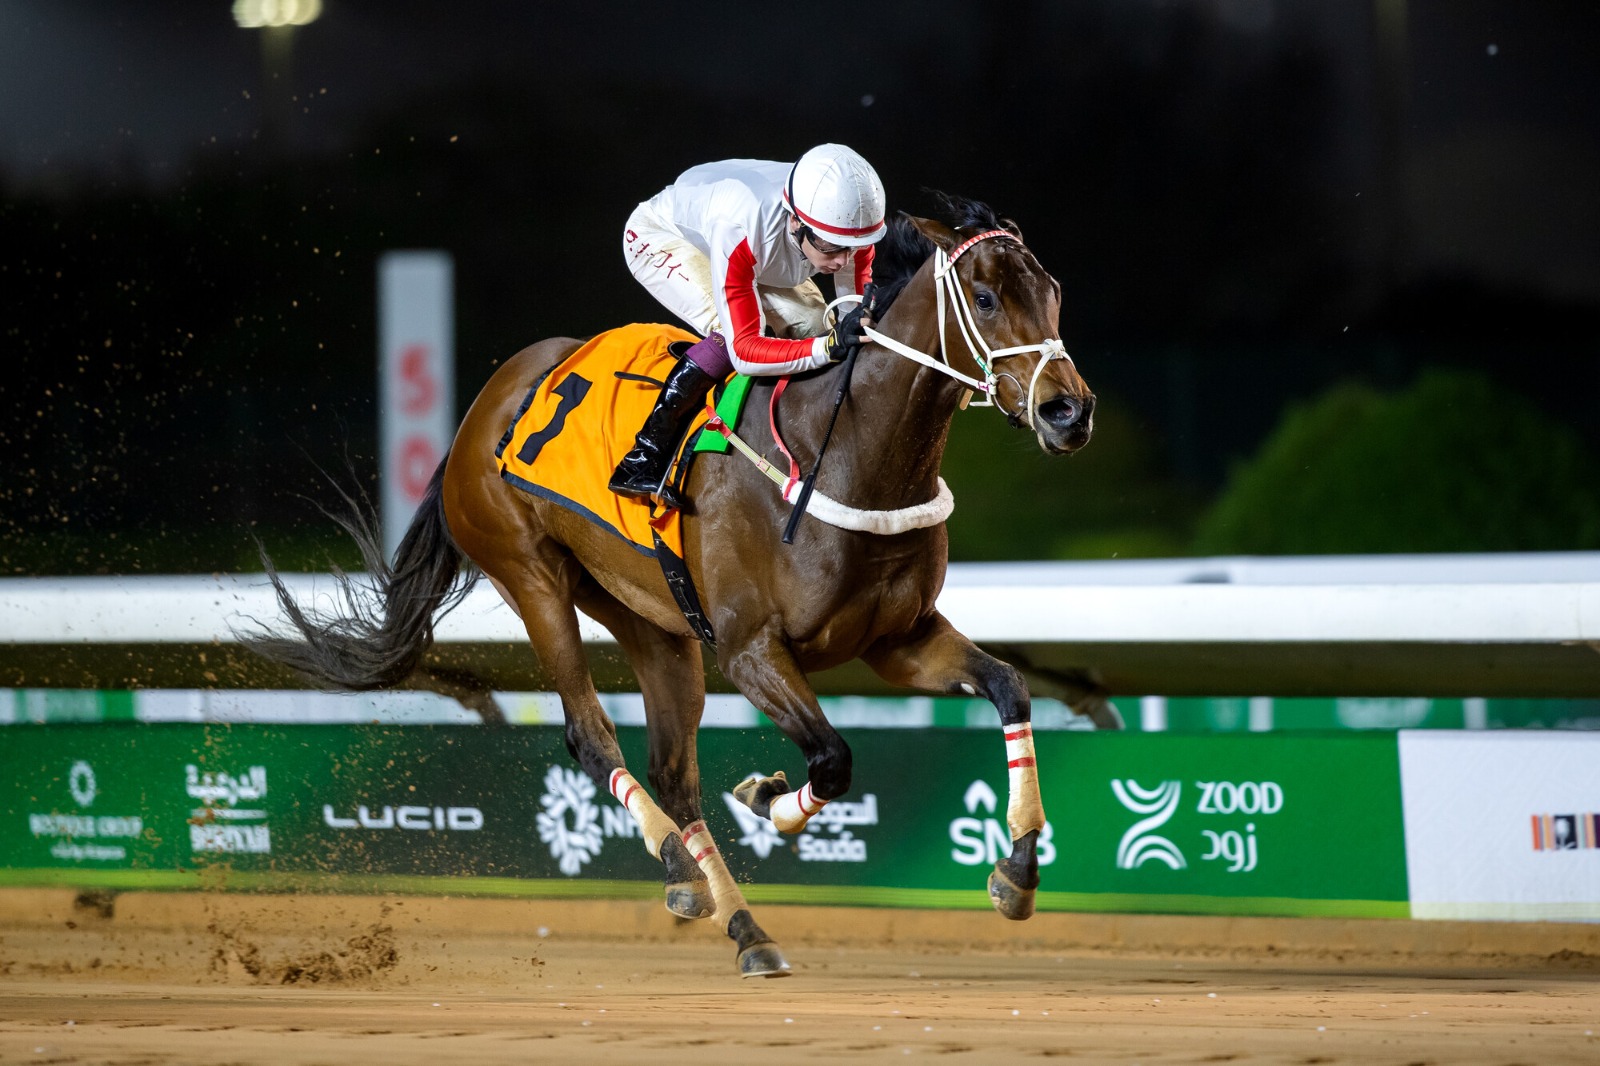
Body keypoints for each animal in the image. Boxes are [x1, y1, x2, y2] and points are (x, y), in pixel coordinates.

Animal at [249, 194, 1096, 977]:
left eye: (1053, 290)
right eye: (984, 298)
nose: (1069, 412)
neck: (848, 452)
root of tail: (482, 410)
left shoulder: (898, 638)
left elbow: (1011, 689)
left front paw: (1017, 872)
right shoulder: (751, 651)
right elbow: (832, 759)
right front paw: (765, 797)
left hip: (649, 615)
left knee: (672, 771)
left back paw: (739, 922)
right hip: (533, 578)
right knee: (591, 736)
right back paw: (686, 870)